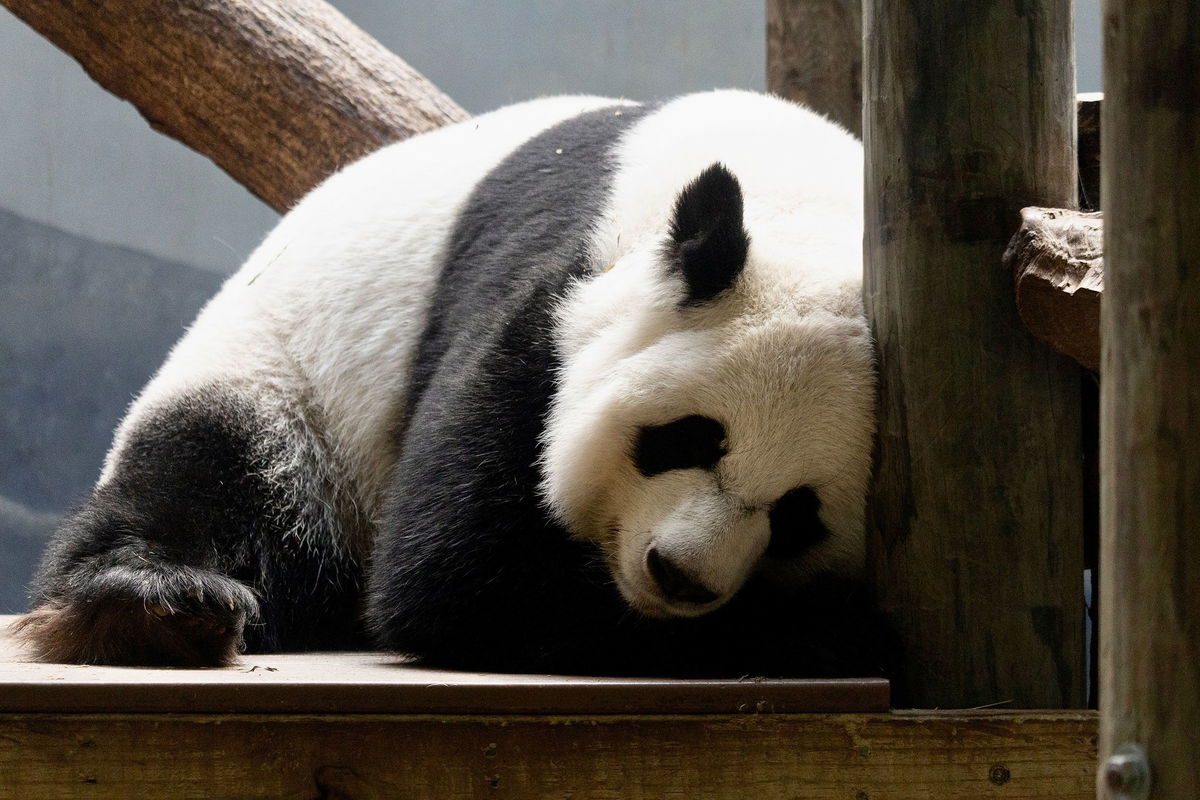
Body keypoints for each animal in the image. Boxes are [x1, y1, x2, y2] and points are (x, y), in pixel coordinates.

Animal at [11, 89, 892, 676]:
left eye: (799, 513)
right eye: (687, 439)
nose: (679, 575)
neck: (802, 202)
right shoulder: (553, 292)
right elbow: (459, 573)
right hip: (285, 382)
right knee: (216, 470)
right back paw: (154, 604)